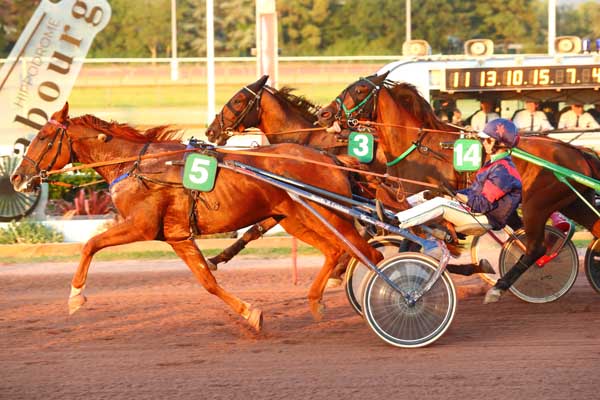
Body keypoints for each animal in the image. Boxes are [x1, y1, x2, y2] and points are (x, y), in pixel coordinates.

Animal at [10, 103, 380, 332]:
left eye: (43, 137)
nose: (16, 177)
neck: (137, 166)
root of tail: (329, 158)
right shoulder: (177, 236)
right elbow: (207, 281)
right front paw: (252, 314)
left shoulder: (141, 226)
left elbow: (90, 244)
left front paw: (75, 297)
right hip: (294, 217)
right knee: (336, 251)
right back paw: (317, 301)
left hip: (325, 213)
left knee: (368, 254)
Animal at [316, 72, 600, 294]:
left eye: (360, 89)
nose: (324, 113)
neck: (418, 146)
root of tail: (577, 151)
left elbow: (418, 245)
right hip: (573, 203)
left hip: (536, 206)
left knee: (536, 249)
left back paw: (500, 287)